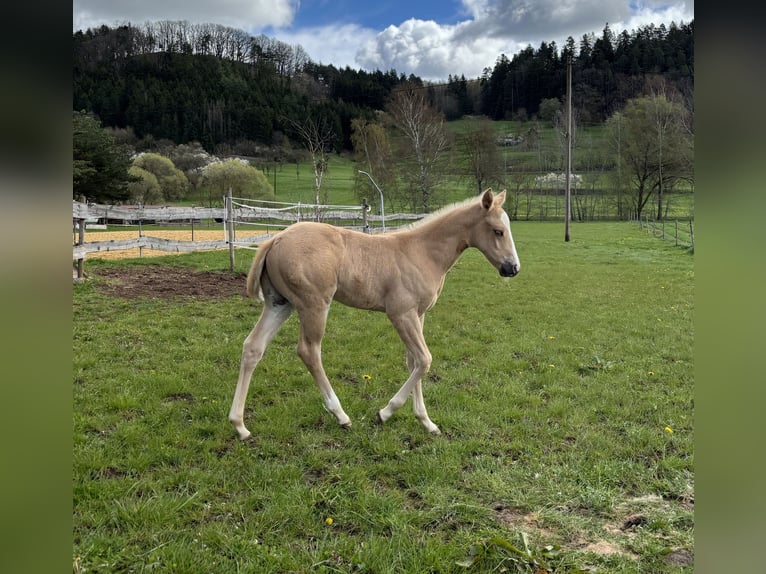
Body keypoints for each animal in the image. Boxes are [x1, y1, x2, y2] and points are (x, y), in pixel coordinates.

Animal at [228, 190, 520, 440]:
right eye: (498, 231)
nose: (513, 268)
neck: (423, 252)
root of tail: (275, 239)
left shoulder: (418, 315)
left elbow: (414, 361)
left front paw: (426, 423)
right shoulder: (401, 314)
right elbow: (424, 359)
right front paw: (384, 413)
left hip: (280, 303)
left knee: (253, 347)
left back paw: (240, 426)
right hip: (314, 305)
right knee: (309, 351)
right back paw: (341, 415)